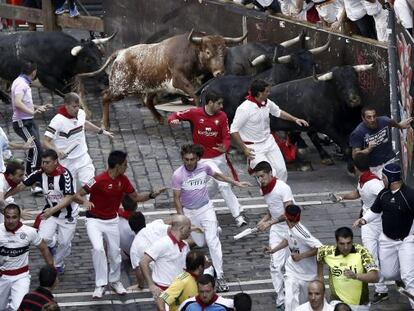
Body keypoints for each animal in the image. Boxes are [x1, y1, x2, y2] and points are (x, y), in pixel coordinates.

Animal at [78, 30, 246, 129]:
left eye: (224, 52)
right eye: (208, 52)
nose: (219, 72)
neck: (192, 54)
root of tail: (121, 52)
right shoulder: (179, 80)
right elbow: (195, 95)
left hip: (152, 86)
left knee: (147, 101)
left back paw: (160, 119)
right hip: (121, 88)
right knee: (106, 96)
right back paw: (105, 124)